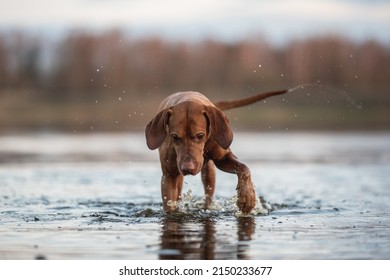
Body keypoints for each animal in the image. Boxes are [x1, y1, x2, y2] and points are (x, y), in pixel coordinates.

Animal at [145, 89, 286, 214]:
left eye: (200, 136)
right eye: (174, 137)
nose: (187, 168)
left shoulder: (223, 158)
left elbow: (244, 168)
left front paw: (247, 196)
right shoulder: (169, 176)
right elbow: (169, 205)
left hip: (209, 173)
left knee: (208, 194)